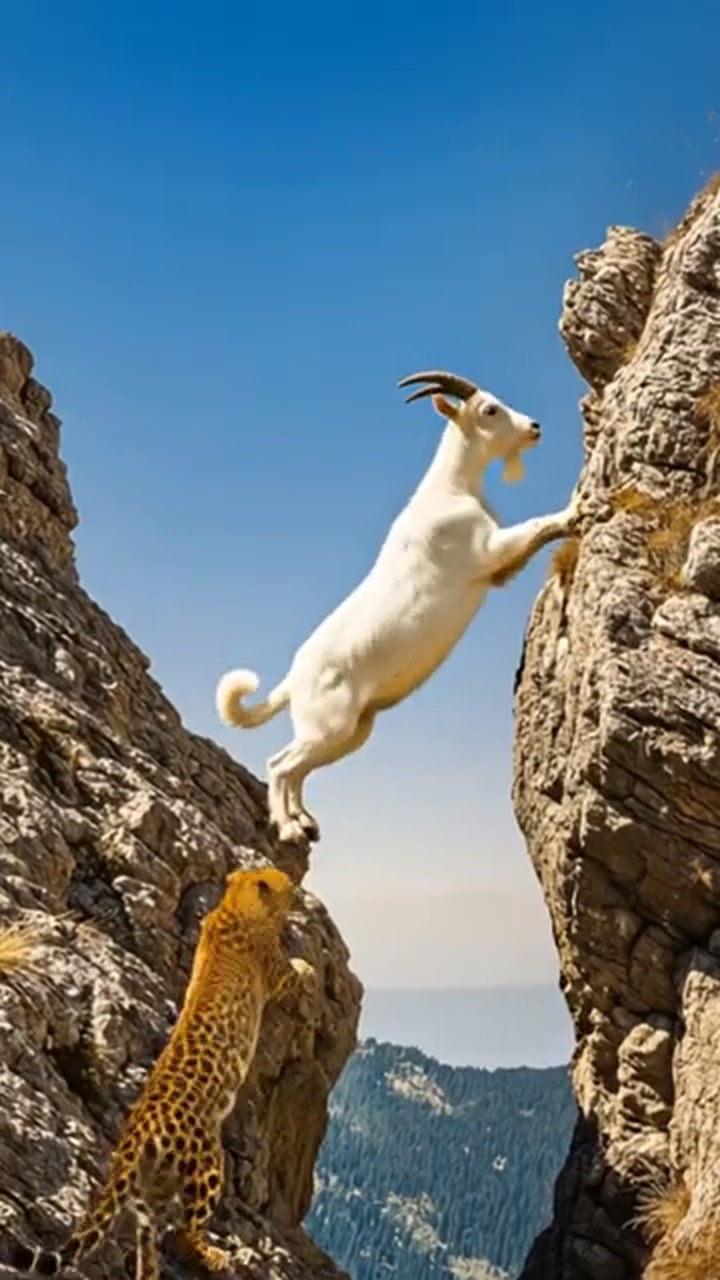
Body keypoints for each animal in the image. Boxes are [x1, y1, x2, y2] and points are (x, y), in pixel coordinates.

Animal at [216, 370, 582, 843]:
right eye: (489, 410)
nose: (533, 427)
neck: (449, 492)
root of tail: (292, 681)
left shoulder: (498, 570)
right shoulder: (488, 551)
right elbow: (537, 525)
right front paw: (577, 508)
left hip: (351, 732)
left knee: (297, 771)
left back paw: (305, 821)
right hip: (329, 726)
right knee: (280, 766)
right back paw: (289, 828)